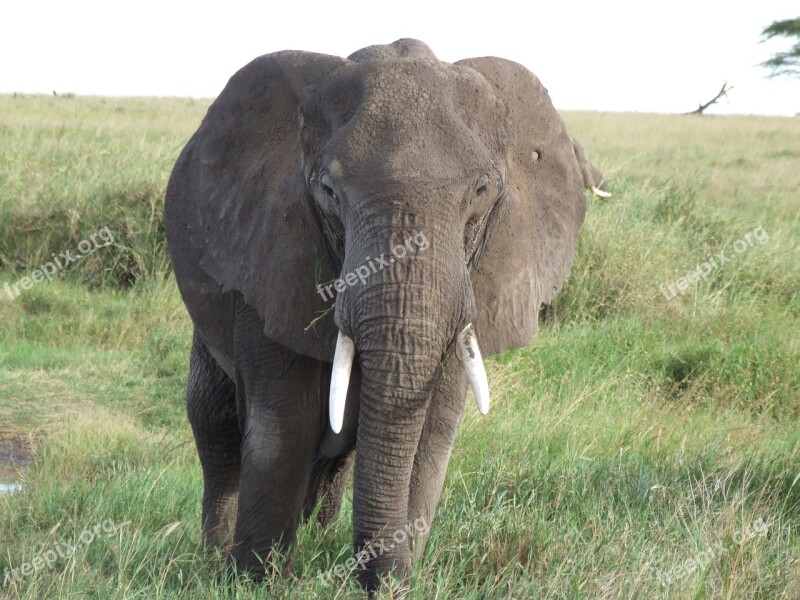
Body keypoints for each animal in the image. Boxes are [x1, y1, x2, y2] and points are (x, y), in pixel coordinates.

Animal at [166, 38, 608, 596]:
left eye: (481, 192)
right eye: (329, 191)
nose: (385, 584)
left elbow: (430, 436)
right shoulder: (270, 256)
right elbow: (284, 425)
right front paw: (254, 582)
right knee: (214, 422)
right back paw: (213, 554)